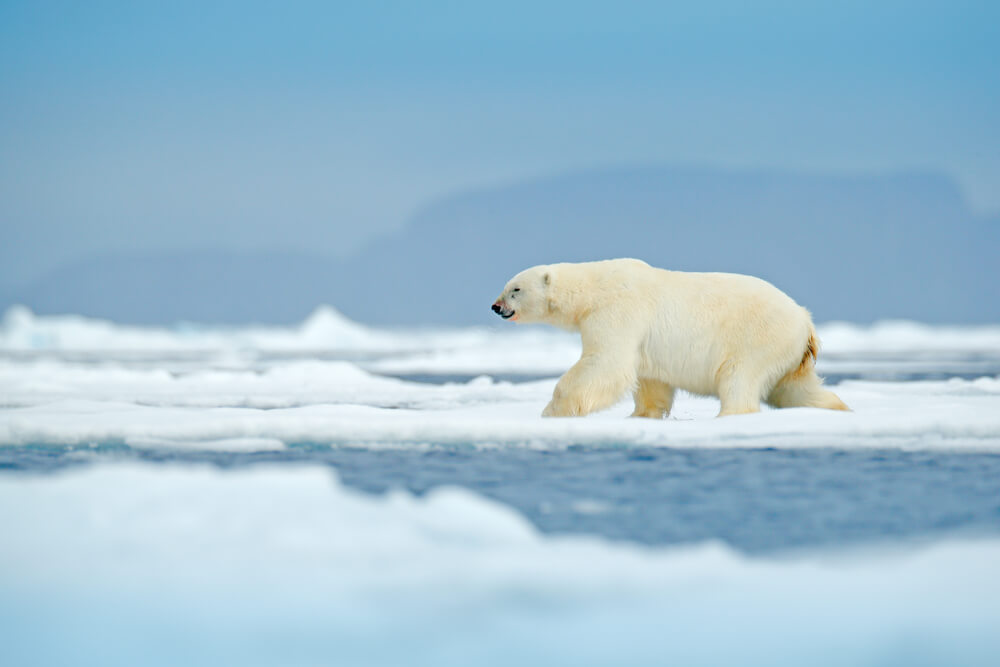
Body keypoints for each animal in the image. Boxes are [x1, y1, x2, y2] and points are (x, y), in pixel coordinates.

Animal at [491, 258, 849, 418]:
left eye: (515, 289)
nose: (495, 306)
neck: (593, 287)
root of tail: (805, 320)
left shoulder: (618, 311)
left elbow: (606, 363)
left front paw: (551, 411)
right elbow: (651, 380)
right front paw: (641, 415)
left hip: (759, 338)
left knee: (739, 377)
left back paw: (730, 415)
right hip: (790, 354)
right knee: (796, 389)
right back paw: (836, 407)